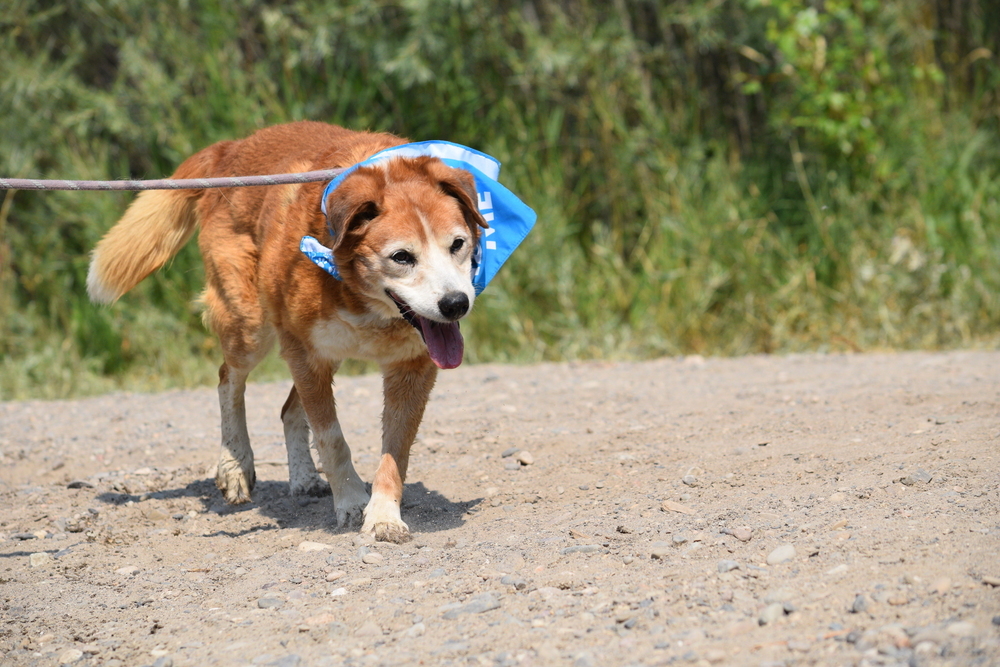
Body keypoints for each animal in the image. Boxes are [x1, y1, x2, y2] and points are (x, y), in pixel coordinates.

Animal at [89, 122, 488, 544]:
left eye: (458, 245)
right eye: (401, 257)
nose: (456, 304)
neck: (359, 293)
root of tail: (231, 149)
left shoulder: (408, 366)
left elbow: (395, 449)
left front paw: (383, 515)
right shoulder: (307, 353)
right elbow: (332, 438)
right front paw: (350, 502)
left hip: (318, 350)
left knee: (288, 410)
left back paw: (303, 475)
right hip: (252, 328)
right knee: (228, 380)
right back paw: (235, 464)